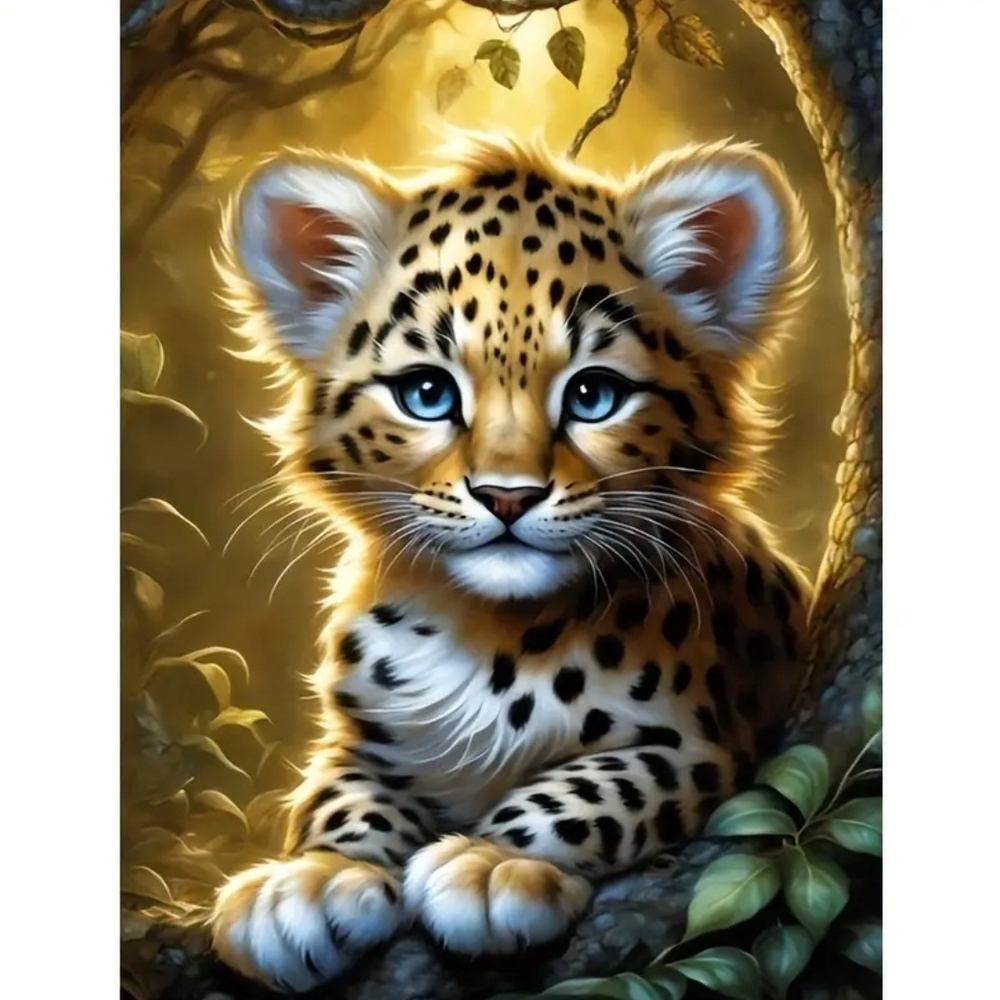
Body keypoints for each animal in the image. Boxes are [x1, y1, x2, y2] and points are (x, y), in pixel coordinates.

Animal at [208, 130, 815, 993]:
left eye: (593, 395)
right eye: (427, 393)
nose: (506, 496)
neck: (480, 632)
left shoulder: (703, 744)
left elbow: (601, 783)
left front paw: (491, 864)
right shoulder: (360, 740)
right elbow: (340, 793)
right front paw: (311, 883)